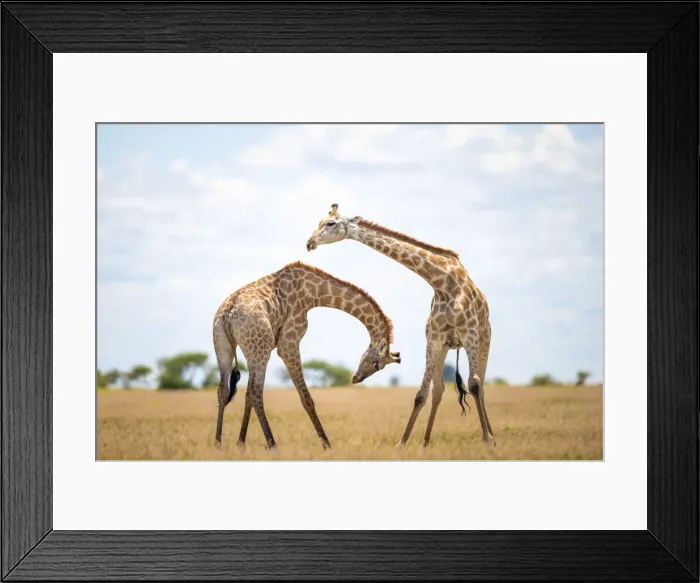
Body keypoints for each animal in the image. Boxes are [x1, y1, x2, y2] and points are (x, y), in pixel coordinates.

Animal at [212, 260, 401, 450]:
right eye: (377, 364)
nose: (355, 378)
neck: (313, 292)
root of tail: (228, 314)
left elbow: (246, 395)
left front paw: (240, 444)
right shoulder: (288, 343)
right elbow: (306, 398)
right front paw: (327, 445)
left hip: (224, 346)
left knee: (225, 390)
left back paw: (218, 444)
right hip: (259, 349)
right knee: (256, 392)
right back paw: (273, 445)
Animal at [306, 204, 495, 447]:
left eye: (331, 223)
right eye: (319, 222)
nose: (309, 242)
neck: (443, 282)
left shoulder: (470, 334)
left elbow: (474, 385)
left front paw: (487, 440)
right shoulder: (434, 338)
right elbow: (421, 394)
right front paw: (402, 444)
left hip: (484, 339)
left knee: (480, 386)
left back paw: (491, 435)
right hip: (446, 346)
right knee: (439, 390)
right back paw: (425, 443)